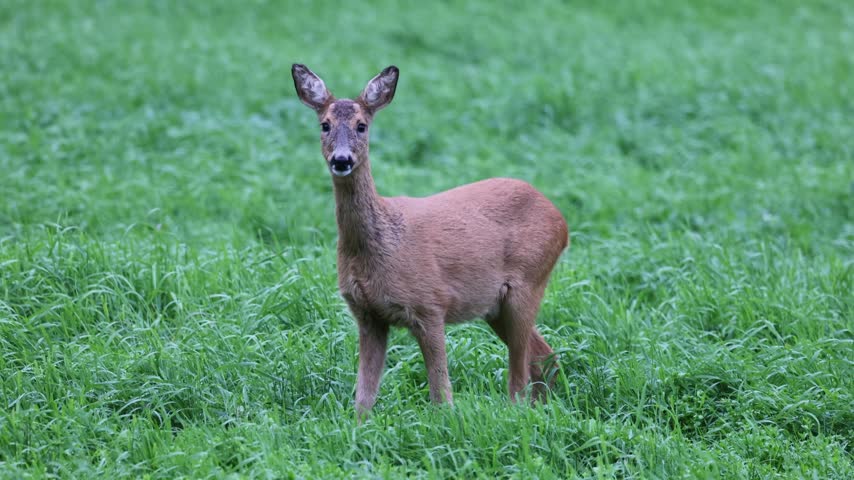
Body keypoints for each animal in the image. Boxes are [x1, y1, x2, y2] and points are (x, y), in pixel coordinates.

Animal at [291, 64, 569, 416]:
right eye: (324, 124)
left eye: (361, 126)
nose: (341, 160)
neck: (380, 245)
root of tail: (561, 220)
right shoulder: (367, 315)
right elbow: (364, 395)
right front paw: (358, 427)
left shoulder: (431, 304)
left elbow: (441, 392)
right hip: (496, 307)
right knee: (544, 355)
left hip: (528, 283)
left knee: (520, 375)